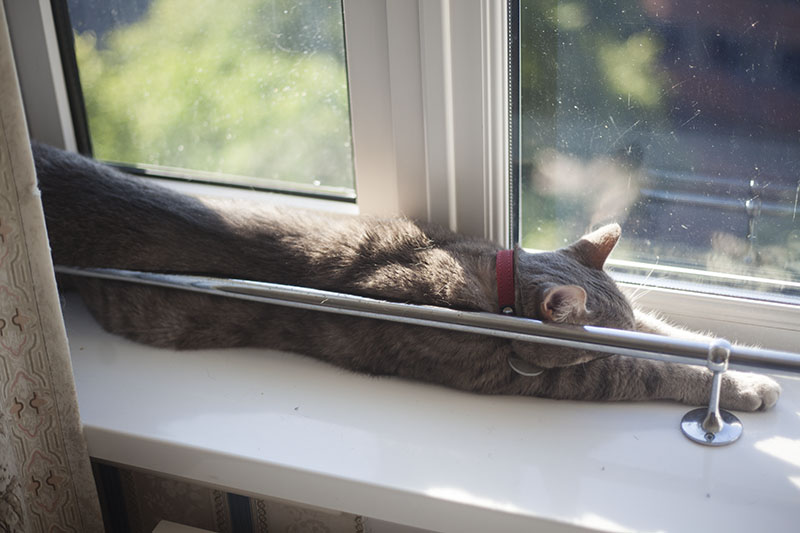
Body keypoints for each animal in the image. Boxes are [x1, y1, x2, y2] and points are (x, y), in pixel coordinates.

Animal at [34, 142, 780, 412]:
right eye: (598, 343)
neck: (490, 280)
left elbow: (668, 332)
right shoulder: (555, 376)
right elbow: (653, 370)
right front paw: (748, 385)